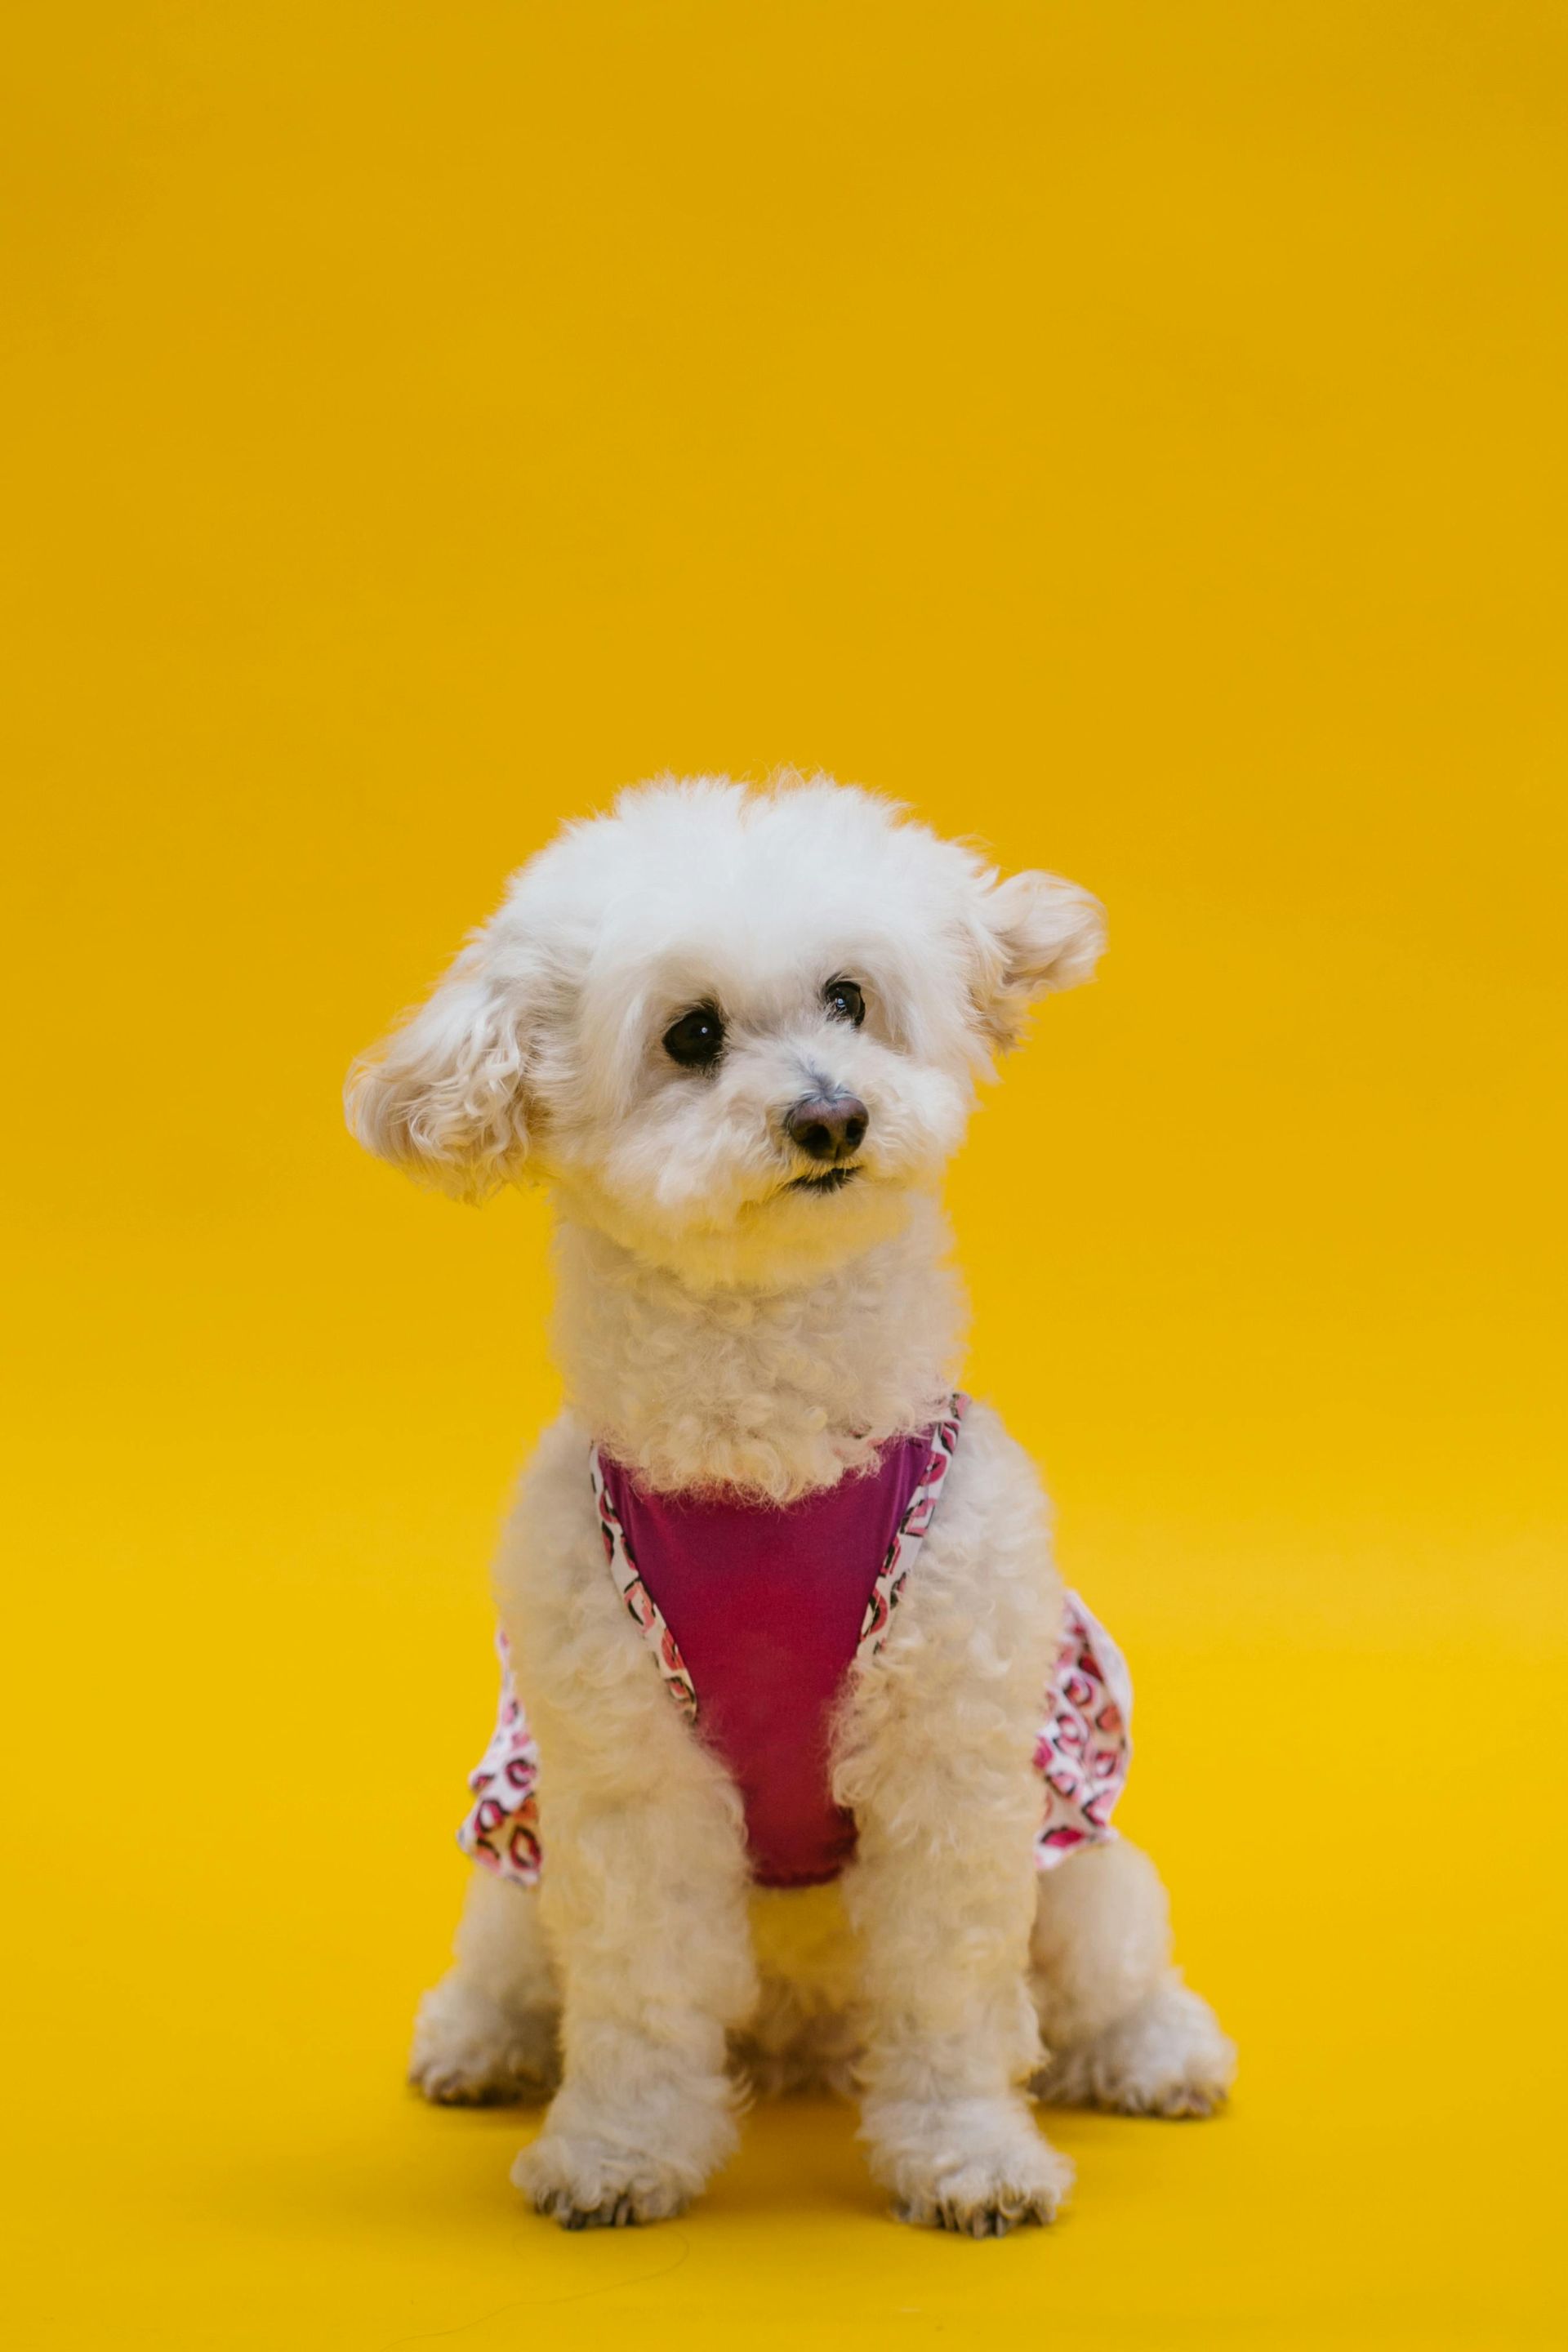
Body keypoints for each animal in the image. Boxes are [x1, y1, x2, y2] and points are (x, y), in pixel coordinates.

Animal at [345, 781, 1241, 2230]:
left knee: (1109, 1961)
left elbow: (952, 1997)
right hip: (518, 1858)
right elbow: (639, 1995)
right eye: (691, 1035)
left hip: (1080, 1855)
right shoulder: (625, 1775)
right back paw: (484, 2038)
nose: (831, 1118)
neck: (771, 1451)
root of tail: (806, 2029)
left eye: (849, 999)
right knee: (517, 1956)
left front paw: (969, 2158)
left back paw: (1156, 2051)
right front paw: (618, 2154)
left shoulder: (952, 1762)